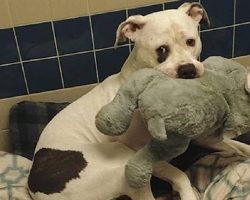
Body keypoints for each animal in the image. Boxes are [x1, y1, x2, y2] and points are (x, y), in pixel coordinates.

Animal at [27, 3, 209, 200]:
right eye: (161, 49)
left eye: (190, 41)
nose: (187, 70)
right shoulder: (144, 153)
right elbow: (178, 174)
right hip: (123, 161)